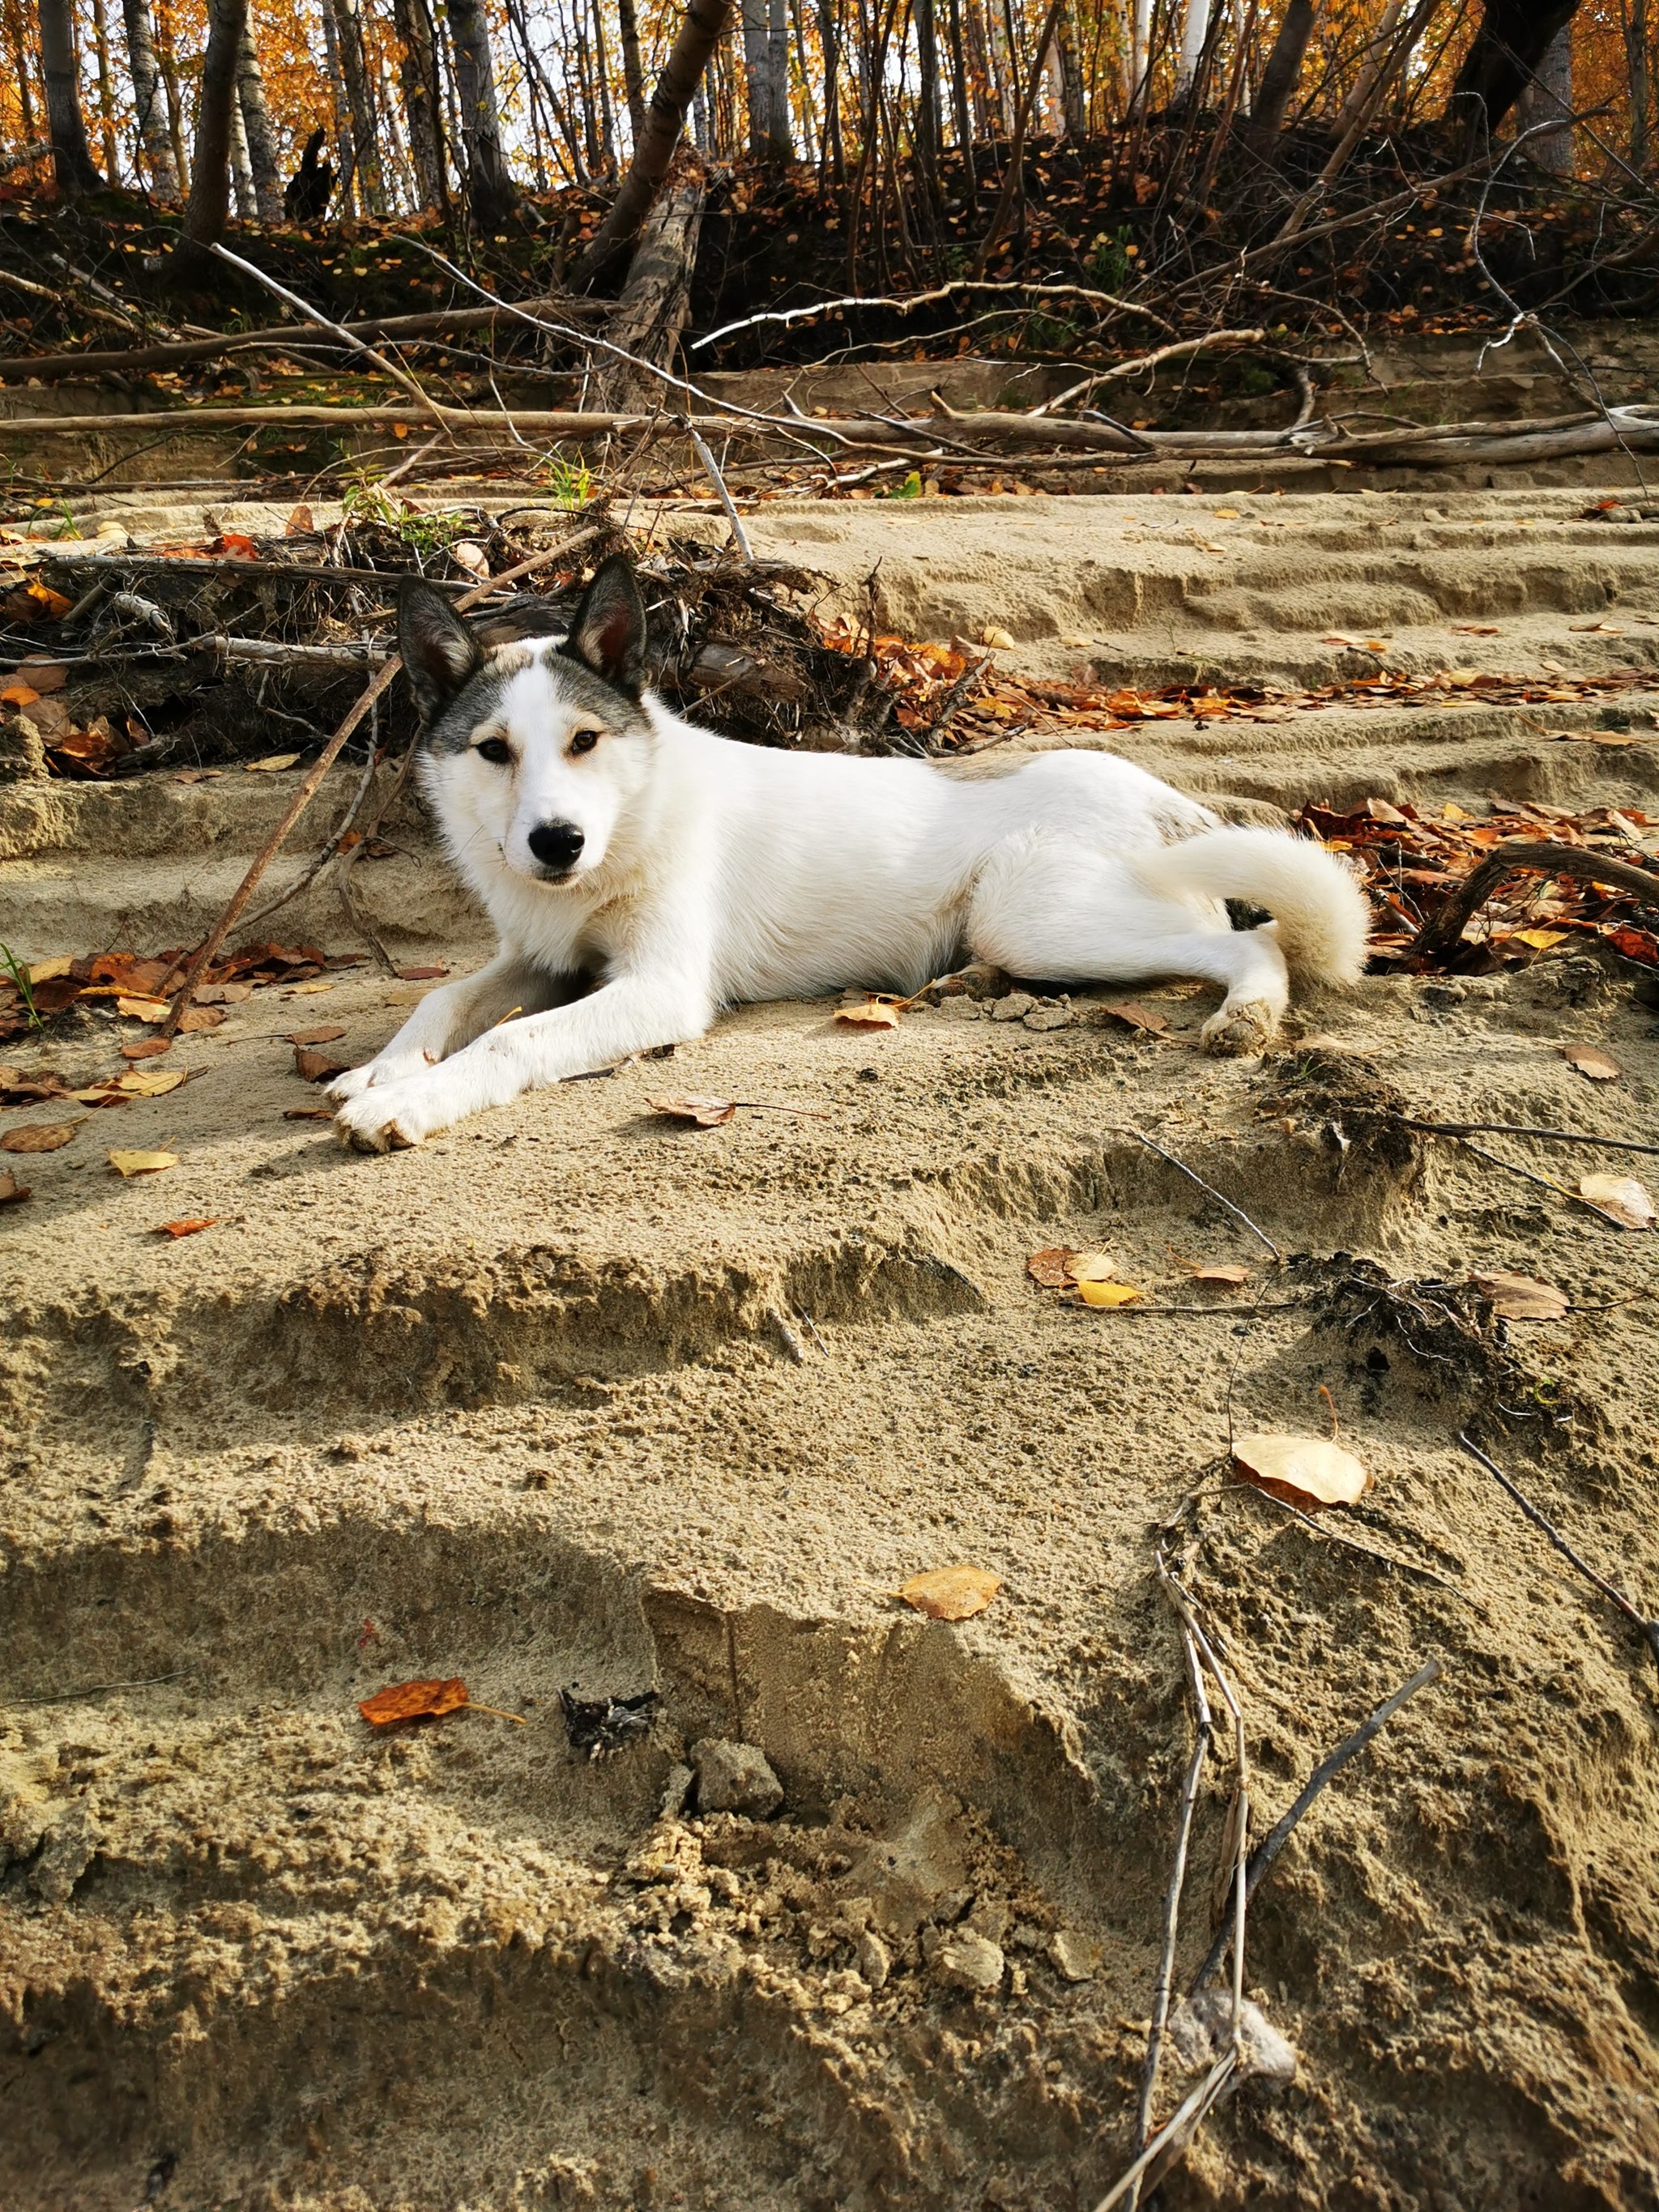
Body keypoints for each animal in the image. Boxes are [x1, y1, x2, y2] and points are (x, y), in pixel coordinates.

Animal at [327, 557, 1380, 1159]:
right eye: (493, 751)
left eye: (585, 741)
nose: (556, 843)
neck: (630, 817)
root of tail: (1154, 788)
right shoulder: (540, 957)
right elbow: (443, 997)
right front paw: (384, 1068)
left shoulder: (658, 988)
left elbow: (506, 1039)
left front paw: (412, 1102)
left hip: (1036, 915)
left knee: (1249, 943)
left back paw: (1246, 1014)